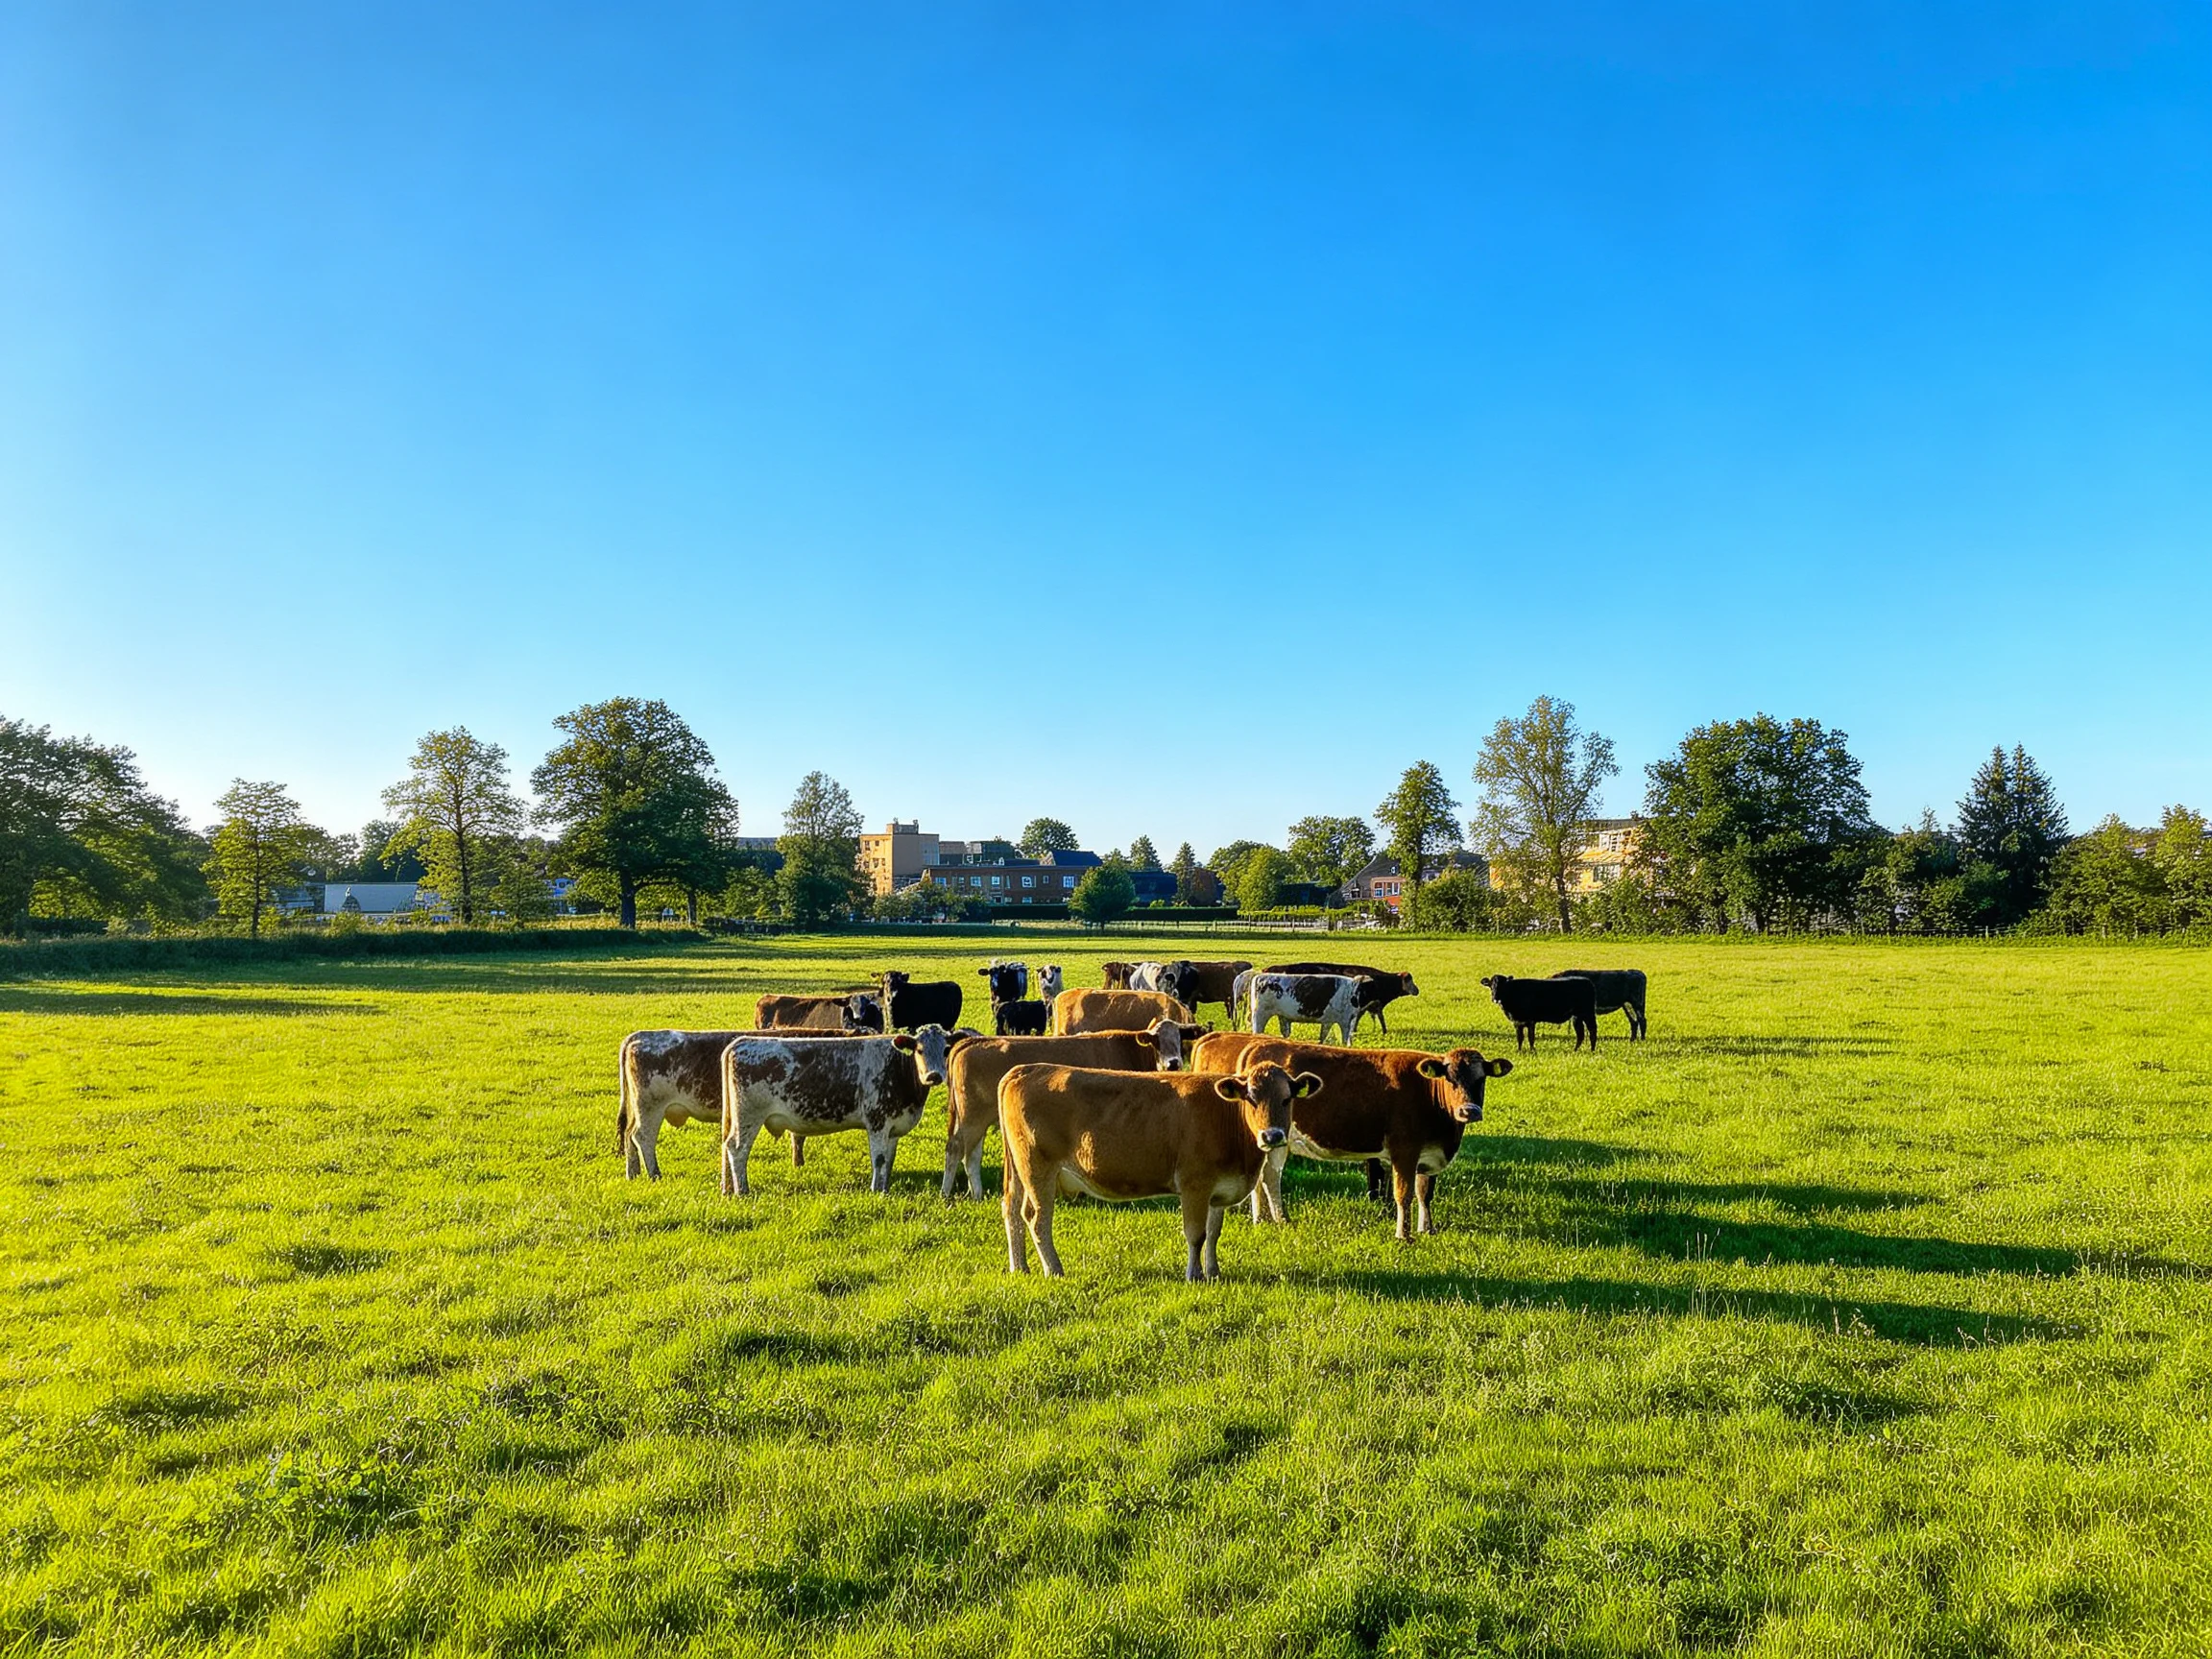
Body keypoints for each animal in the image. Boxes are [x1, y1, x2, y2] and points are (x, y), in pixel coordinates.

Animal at [720, 1025, 957, 1196]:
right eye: (919, 1050)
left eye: (946, 1050)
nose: (934, 1076)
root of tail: (742, 1042)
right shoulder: (877, 1121)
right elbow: (879, 1159)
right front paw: (876, 1191)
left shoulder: (894, 1127)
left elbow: (889, 1160)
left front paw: (885, 1189)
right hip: (749, 1116)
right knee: (737, 1148)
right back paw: (743, 1191)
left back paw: (729, 1189)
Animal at [940, 1019, 1201, 1198]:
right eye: (1157, 1041)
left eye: (1179, 1039)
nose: (1173, 1063)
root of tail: (968, 1042)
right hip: (972, 1118)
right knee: (957, 1149)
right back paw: (953, 1192)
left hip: (977, 1120)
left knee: (971, 1154)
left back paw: (973, 1192)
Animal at [997, 1060, 1321, 1280]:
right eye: (1251, 1098)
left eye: (1287, 1098)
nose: (1272, 1136)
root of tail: (1025, 1069)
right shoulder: (1194, 1185)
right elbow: (1196, 1234)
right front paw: (1195, 1275)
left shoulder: (1218, 1190)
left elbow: (1214, 1232)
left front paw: (1214, 1272)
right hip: (1038, 1169)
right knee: (1036, 1218)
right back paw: (1054, 1269)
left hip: (1019, 1172)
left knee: (1012, 1210)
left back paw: (1020, 1267)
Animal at [1191, 1032, 1511, 1238]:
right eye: (1450, 1077)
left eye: (1481, 1078)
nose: (1469, 1111)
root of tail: (1257, 1044)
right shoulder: (1404, 1151)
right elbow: (1404, 1194)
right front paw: (1404, 1235)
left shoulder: (1429, 1156)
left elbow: (1425, 1193)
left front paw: (1427, 1229)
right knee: (1270, 1177)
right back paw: (1280, 1219)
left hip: (1274, 1138)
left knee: (1264, 1177)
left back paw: (1266, 1220)